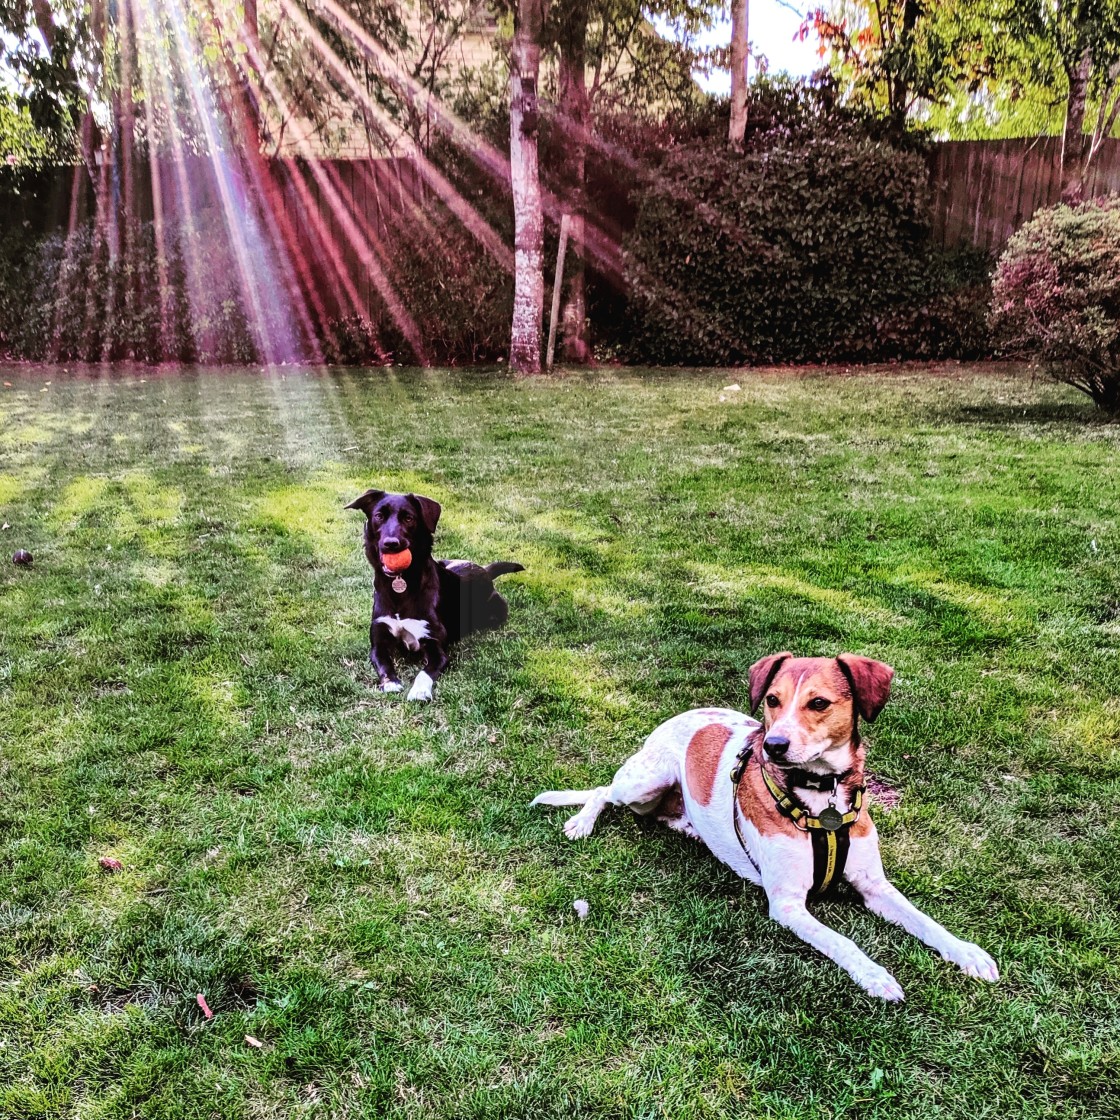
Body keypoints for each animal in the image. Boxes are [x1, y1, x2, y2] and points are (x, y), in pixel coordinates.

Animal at [344, 488, 524, 698]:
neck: (401, 586)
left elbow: (425, 672)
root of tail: (485, 571)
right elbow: (384, 664)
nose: (391, 544)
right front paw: (391, 683)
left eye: (409, 518)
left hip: (497, 609)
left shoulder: (435, 645)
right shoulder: (378, 641)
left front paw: (419, 692)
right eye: (379, 516)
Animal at [533, 654, 999, 1003]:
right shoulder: (788, 904)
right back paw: (581, 821)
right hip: (645, 781)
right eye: (773, 700)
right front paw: (874, 975)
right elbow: (843, 942)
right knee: (603, 790)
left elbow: (926, 921)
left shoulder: (875, 886)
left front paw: (967, 952)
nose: (773, 746)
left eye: (819, 703)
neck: (820, 797)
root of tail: (677, 717)